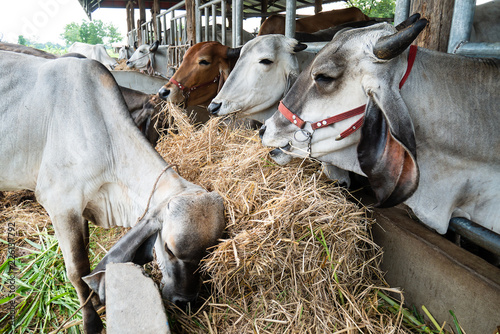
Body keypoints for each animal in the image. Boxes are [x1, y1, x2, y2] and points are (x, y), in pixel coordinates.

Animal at [0, 51, 225, 332]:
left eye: (209, 254)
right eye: (170, 250)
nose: (185, 301)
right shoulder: (60, 204)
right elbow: (77, 271)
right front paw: (91, 322)